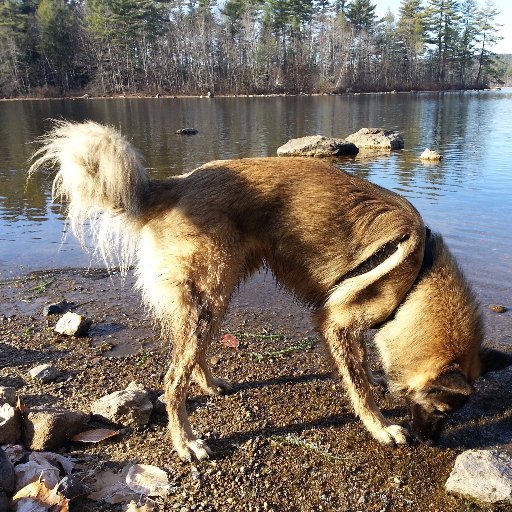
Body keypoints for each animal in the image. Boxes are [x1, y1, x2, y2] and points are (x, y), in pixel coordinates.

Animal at [31, 123, 512, 460]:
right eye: (443, 411)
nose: (432, 445)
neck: (417, 277)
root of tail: (176, 183)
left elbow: (361, 371)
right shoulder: (336, 322)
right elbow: (360, 388)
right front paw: (380, 427)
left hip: (218, 294)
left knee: (193, 358)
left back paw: (211, 384)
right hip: (209, 295)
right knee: (171, 380)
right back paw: (186, 442)